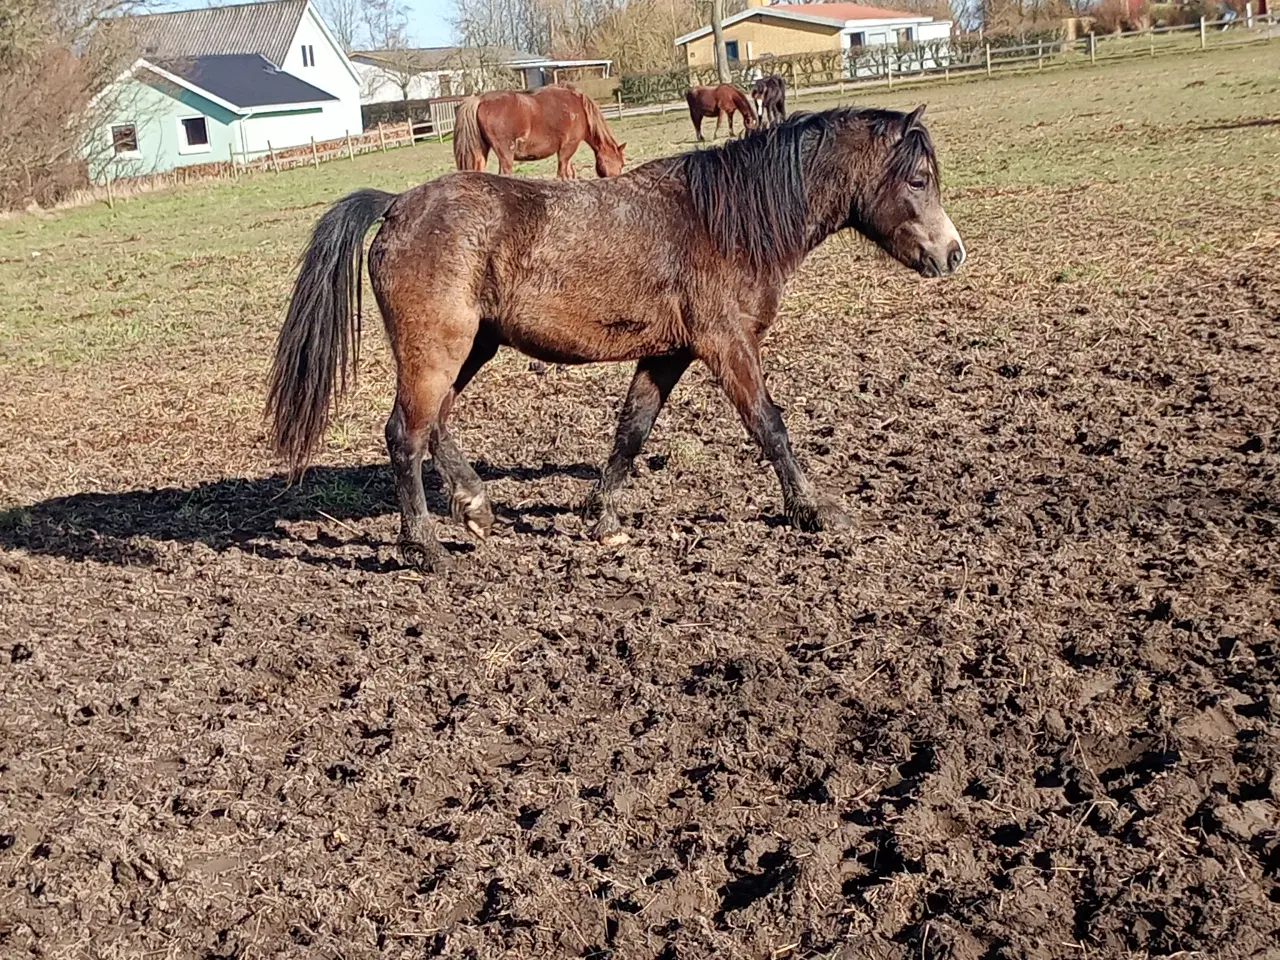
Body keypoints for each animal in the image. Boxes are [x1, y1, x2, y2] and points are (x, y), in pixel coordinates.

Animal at [272, 106, 967, 570]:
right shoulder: (727, 345)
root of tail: (397, 206)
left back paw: (474, 506)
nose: (952, 254)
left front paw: (601, 517)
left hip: (470, 348)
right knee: (404, 434)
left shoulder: (668, 354)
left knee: (436, 422)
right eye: (918, 180)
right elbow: (770, 426)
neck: (724, 219)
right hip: (436, 350)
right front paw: (813, 510)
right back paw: (425, 548)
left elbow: (633, 430)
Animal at [453, 84, 627, 180]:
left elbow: (570, 174)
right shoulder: (568, 148)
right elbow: (563, 174)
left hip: (481, 152)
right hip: (506, 153)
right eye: (622, 163)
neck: (580, 110)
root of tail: (479, 99)